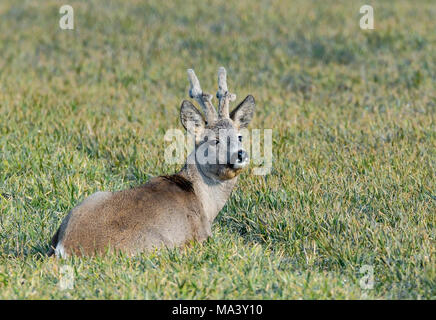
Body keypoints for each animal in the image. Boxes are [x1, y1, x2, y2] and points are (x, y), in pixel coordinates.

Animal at [48, 67, 255, 258]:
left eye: (240, 137)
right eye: (215, 140)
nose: (240, 154)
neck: (204, 202)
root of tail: (65, 247)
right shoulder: (201, 237)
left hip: (94, 197)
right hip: (155, 245)